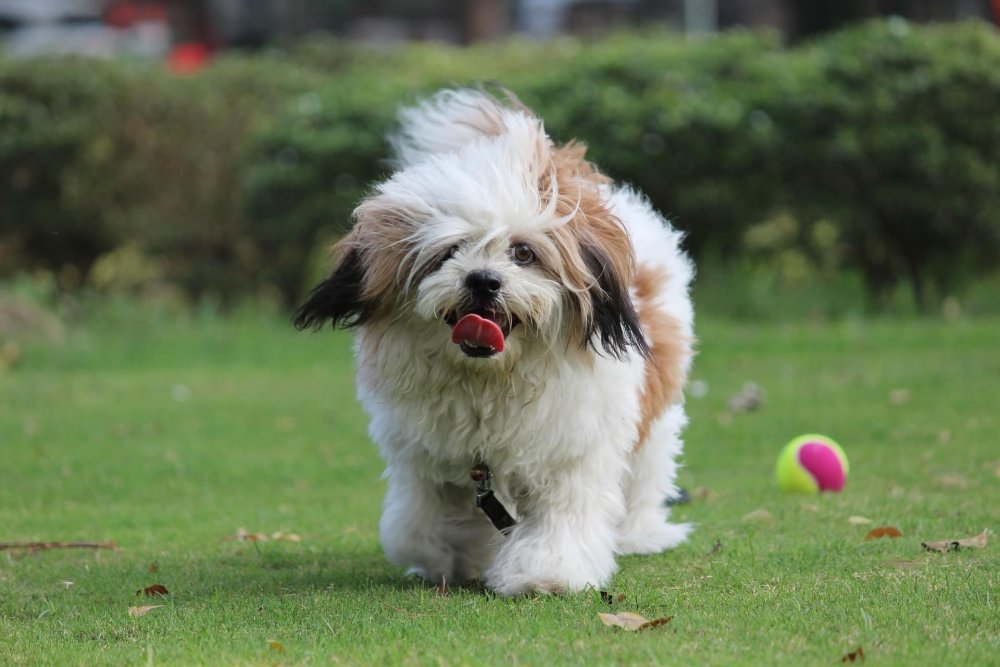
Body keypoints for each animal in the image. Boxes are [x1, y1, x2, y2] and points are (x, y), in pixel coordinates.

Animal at [292, 87, 692, 596]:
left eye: (522, 253)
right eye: (449, 252)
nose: (483, 280)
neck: (490, 379)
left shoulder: (572, 450)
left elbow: (561, 519)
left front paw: (544, 572)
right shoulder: (428, 459)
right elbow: (419, 526)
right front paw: (454, 555)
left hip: (654, 419)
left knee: (645, 474)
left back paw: (641, 534)